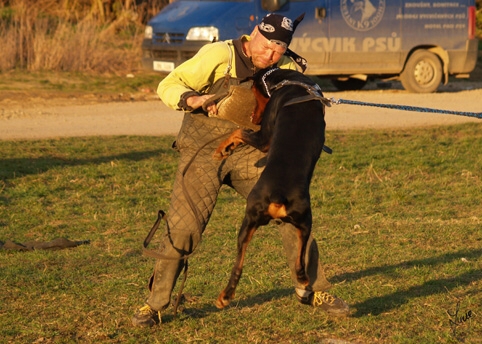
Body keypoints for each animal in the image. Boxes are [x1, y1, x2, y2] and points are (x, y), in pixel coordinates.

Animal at [215, 67, 332, 310]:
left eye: (252, 90)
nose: (254, 116)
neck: (289, 82)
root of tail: (279, 195)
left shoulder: (264, 138)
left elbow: (238, 133)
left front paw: (222, 149)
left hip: (250, 219)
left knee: (239, 262)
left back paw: (225, 296)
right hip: (302, 221)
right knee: (299, 256)